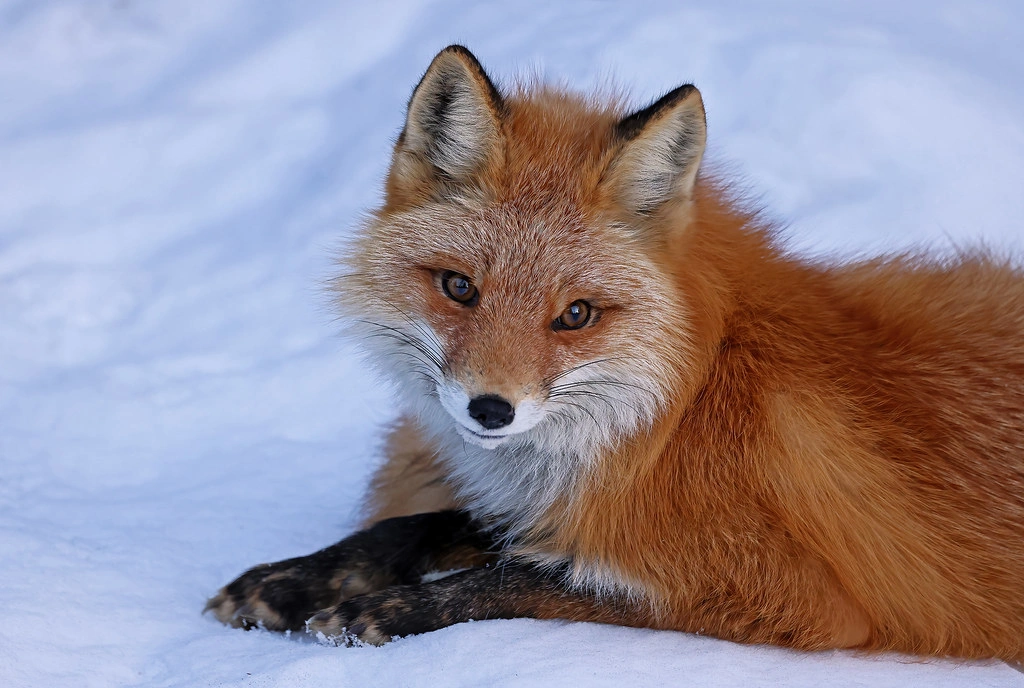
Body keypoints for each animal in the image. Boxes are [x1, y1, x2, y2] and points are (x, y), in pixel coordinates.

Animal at [206, 45, 1024, 660]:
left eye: (575, 315)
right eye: (459, 287)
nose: (491, 410)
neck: (677, 405)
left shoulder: (787, 597)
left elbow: (532, 577)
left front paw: (389, 607)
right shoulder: (562, 497)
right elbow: (442, 524)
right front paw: (298, 579)